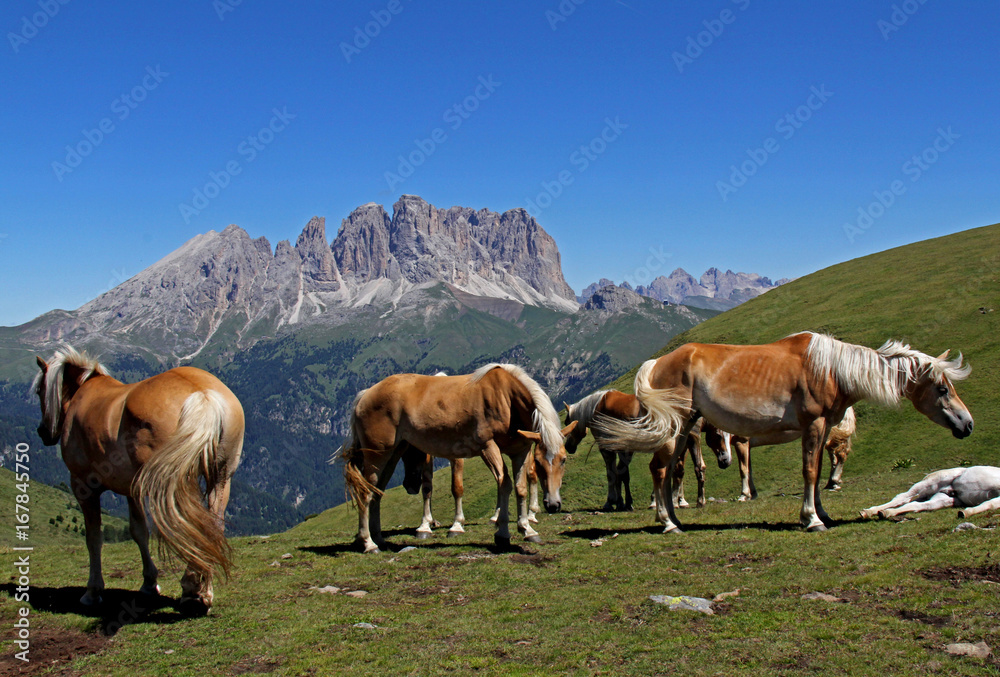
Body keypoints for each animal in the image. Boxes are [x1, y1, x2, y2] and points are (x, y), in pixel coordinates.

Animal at [33, 347, 244, 615]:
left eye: (39, 390)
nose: (43, 432)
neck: (83, 392)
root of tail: (202, 394)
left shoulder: (82, 486)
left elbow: (94, 537)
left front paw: (92, 592)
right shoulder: (131, 488)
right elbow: (139, 530)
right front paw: (149, 583)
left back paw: (192, 590)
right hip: (221, 477)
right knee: (212, 525)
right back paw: (202, 591)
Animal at [336, 364, 576, 552]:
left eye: (563, 460)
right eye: (541, 462)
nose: (553, 505)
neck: (507, 398)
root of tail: (366, 394)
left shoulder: (520, 450)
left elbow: (520, 487)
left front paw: (527, 529)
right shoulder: (488, 447)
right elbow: (504, 484)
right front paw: (502, 533)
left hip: (393, 453)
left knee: (376, 492)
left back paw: (378, 538)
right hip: (376, 455)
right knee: (365, 492)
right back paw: (368, 543)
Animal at [702, 407, 856, 501]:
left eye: (718, 436)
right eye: (709, 443)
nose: (723, 462)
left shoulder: (742, 443)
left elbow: (743, 470)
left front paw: (744, 495)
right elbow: (750, 469)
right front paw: (753, 494)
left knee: (841, 454)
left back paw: (834, 481)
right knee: (834, 456)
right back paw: (832, 482)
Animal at [860, 466, 1000, 519]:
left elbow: (989, 504)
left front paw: (966, 512)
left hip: (944, 499)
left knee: (917, 505)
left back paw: (885, 513)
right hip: (930, 482)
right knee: (902, 498)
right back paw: (868, 512)